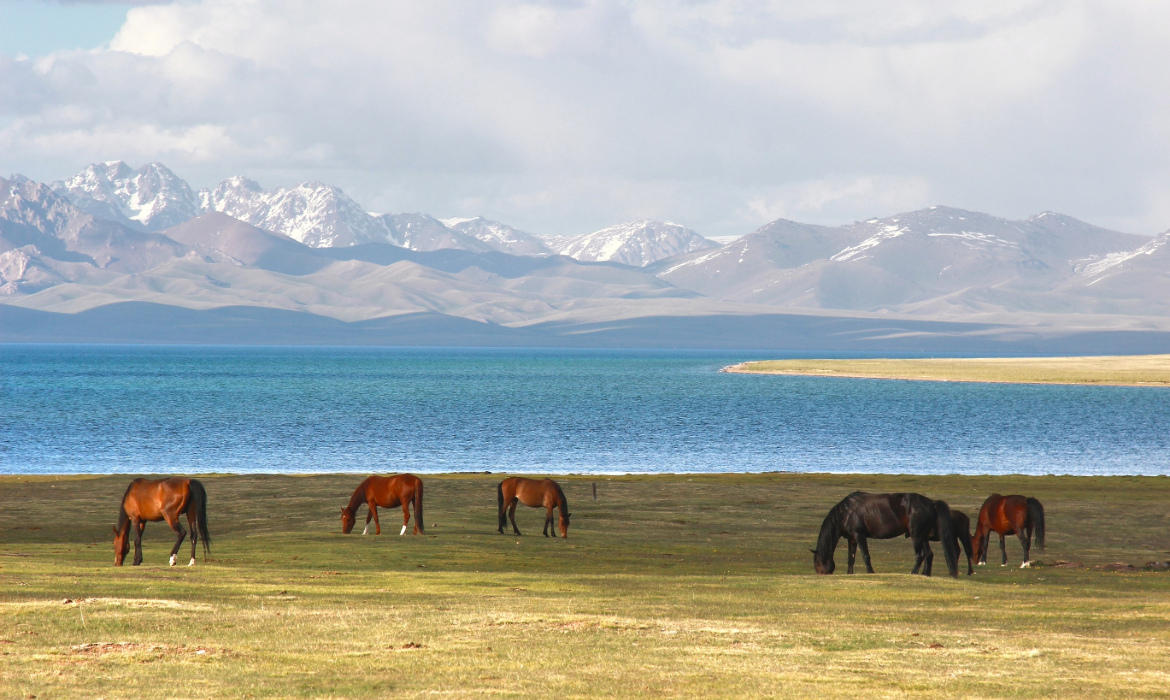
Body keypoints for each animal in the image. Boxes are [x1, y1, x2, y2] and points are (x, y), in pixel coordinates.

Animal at [812, 492, 959, 578]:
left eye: (817, 562)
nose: (821, 574)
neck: (847, 512)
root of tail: (932, 503)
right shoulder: (852, 539)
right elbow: (851, 558)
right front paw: (850, 574)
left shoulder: (860, 536)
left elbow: (865, 556)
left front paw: (870, 572)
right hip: (924, 536)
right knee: (929, 554)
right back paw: (925, 575)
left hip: (916, 536)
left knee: (920, 555)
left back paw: (913, 573)